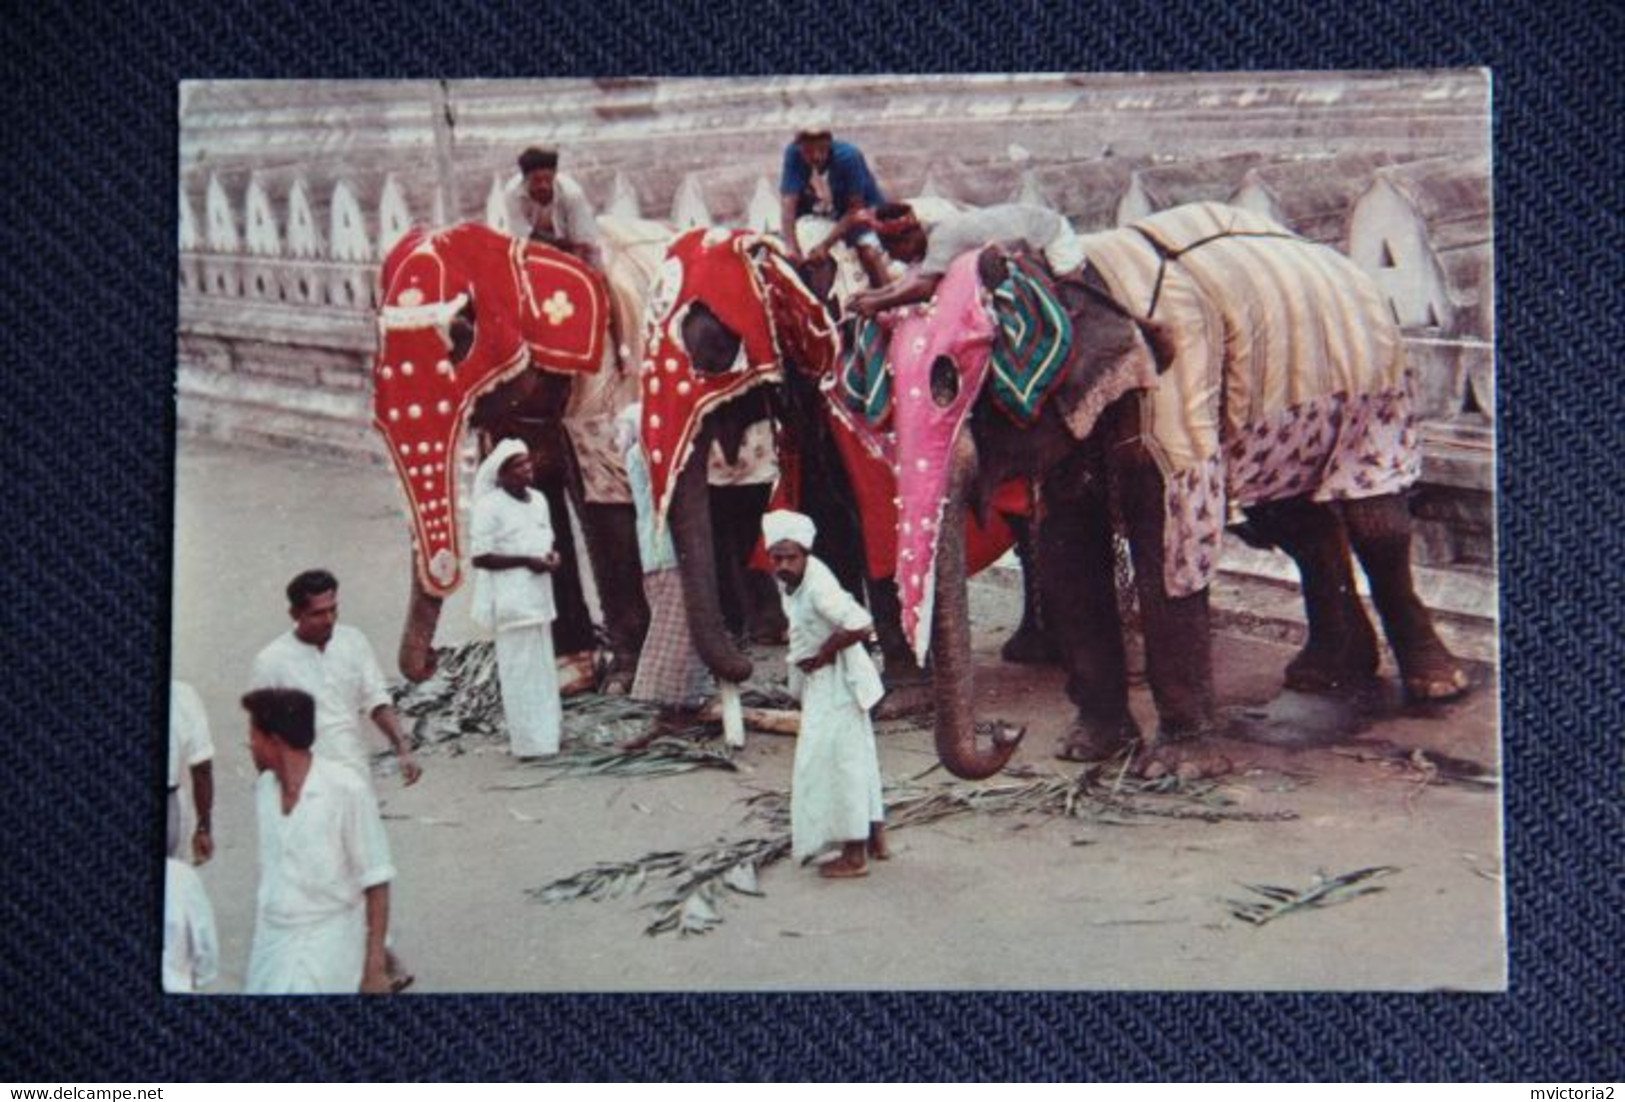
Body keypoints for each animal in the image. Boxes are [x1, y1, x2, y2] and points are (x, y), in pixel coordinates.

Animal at [890, 200, 1475, 786]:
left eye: (954, 387)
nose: (1007, 731)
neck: (1074, 272)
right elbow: (1070, 544)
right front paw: (1087, 749)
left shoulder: (1176, 390)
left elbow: (1168, 538)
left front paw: (1177, 769)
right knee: (1295, 523)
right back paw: (1324, 674)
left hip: (1374, 388)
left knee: (1375, 523)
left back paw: (1436, 685)